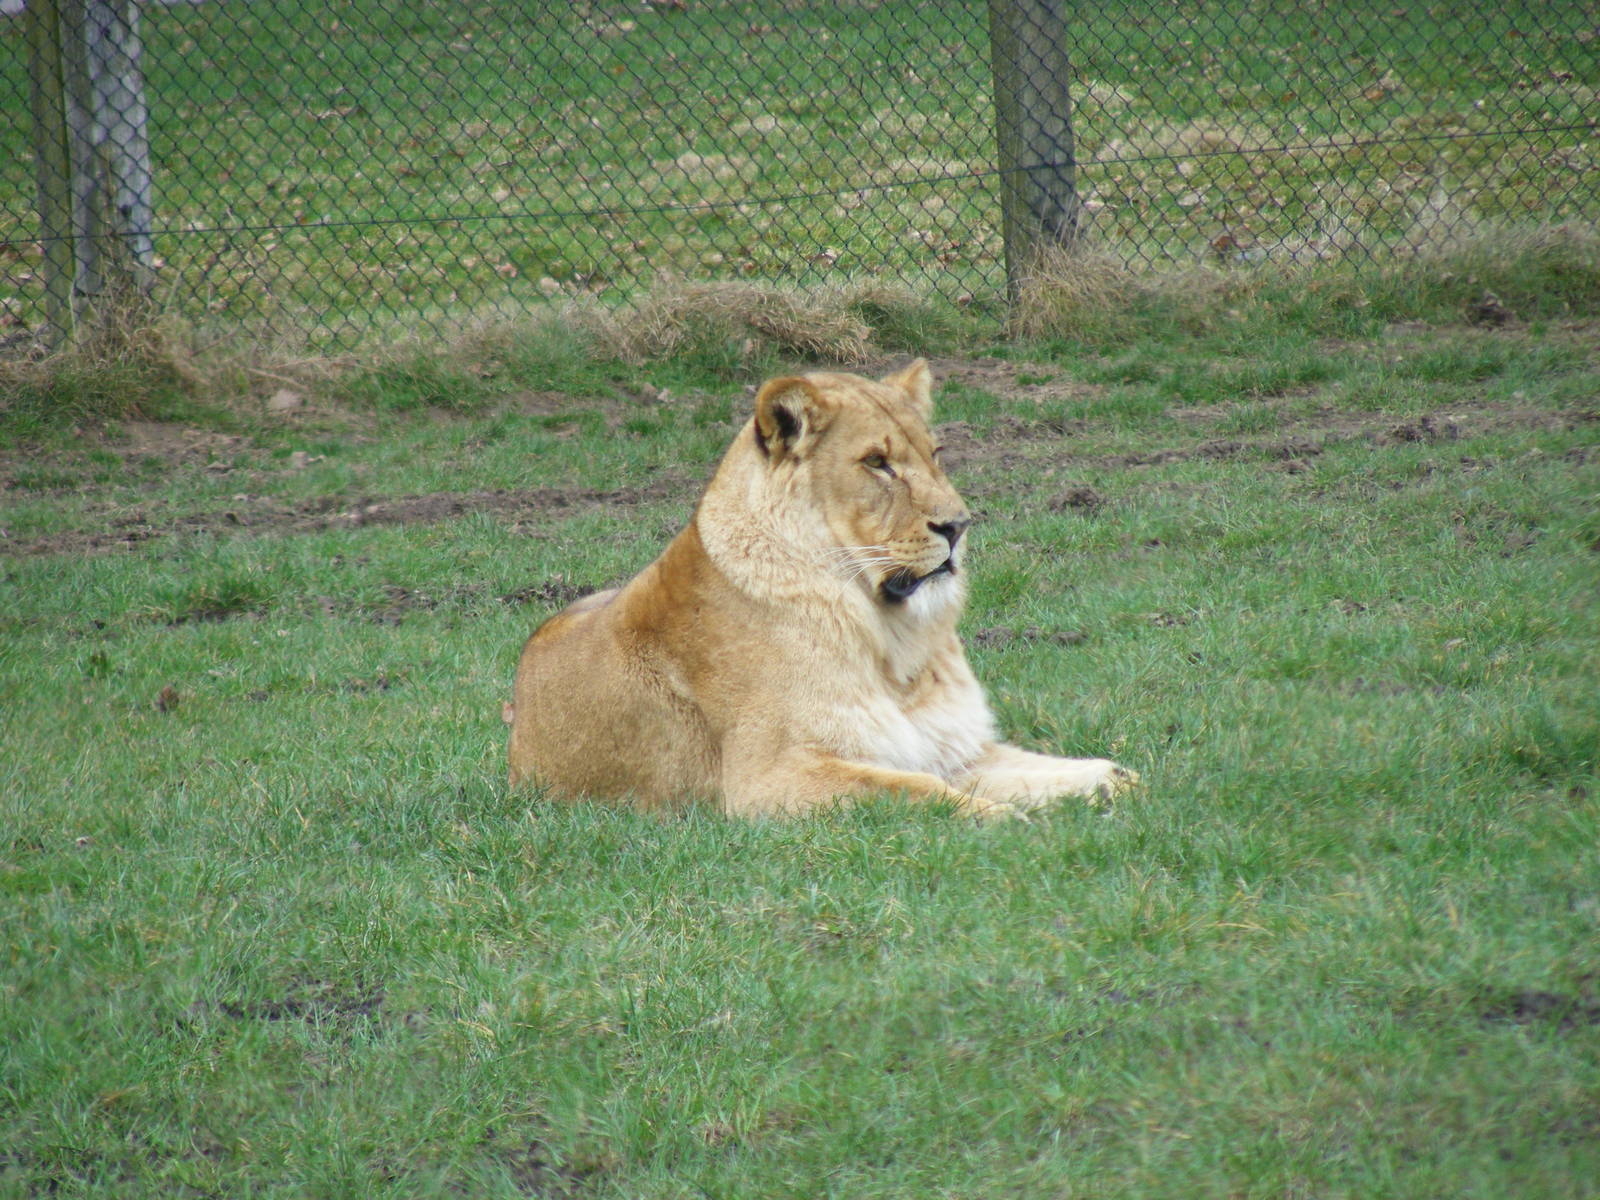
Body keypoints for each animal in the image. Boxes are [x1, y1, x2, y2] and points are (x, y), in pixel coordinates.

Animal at [505, 360, 1138, 820]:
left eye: (935, 454)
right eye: (878, 462)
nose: (958, 526)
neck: (894, 640)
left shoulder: (954, 749)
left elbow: (1064, 769)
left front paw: (1120, 784)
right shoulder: (765, 781)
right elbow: (916, 792)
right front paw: (1006, 821)